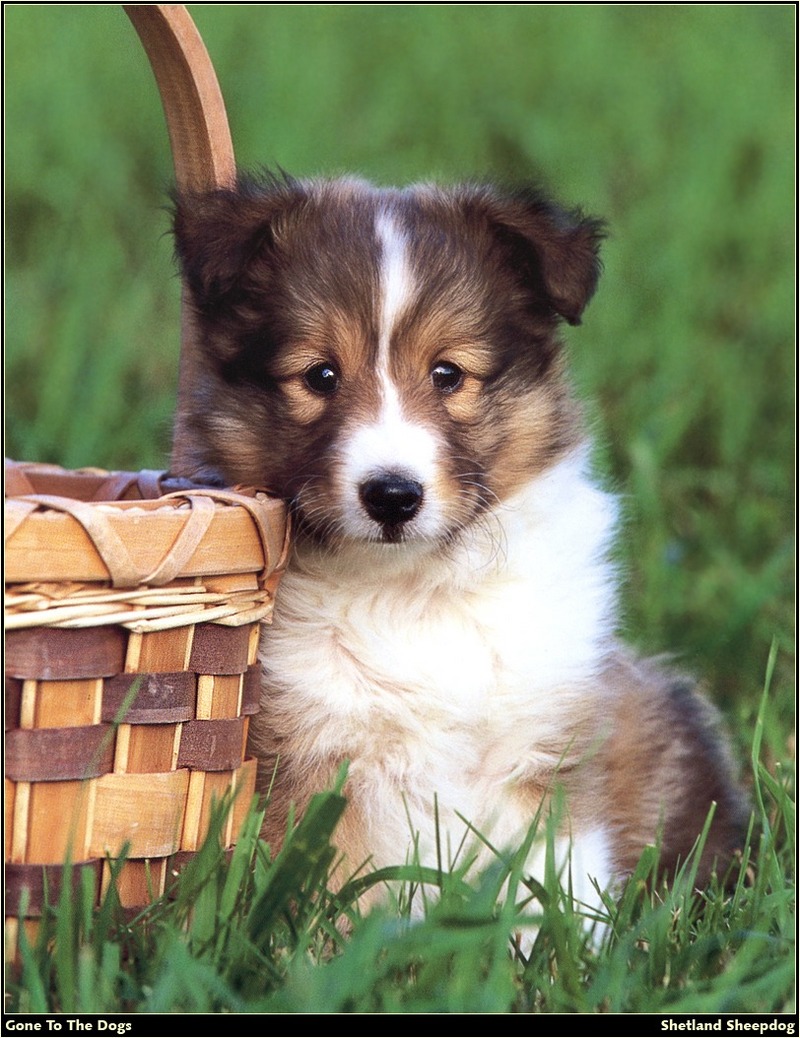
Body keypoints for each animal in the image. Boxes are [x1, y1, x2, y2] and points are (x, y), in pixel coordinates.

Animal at [172, 172, 747, 917]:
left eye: (448, 374)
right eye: (320, 375)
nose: (392, 496)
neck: (410, 590)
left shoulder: (547, 746)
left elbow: (554, 892)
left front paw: (554, 950)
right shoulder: (308, 761)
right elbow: (333, 902)